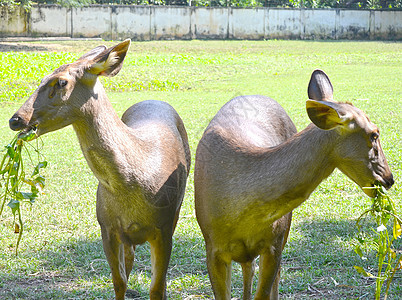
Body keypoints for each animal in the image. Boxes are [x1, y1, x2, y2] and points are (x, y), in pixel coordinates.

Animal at [8, 39, 191, 300]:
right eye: (41, 77)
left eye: (61, 82)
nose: (16, 119)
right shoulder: (106, 226)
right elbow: (119, 281)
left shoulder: (164, 226)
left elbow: (157, 287)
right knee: (130, 259)